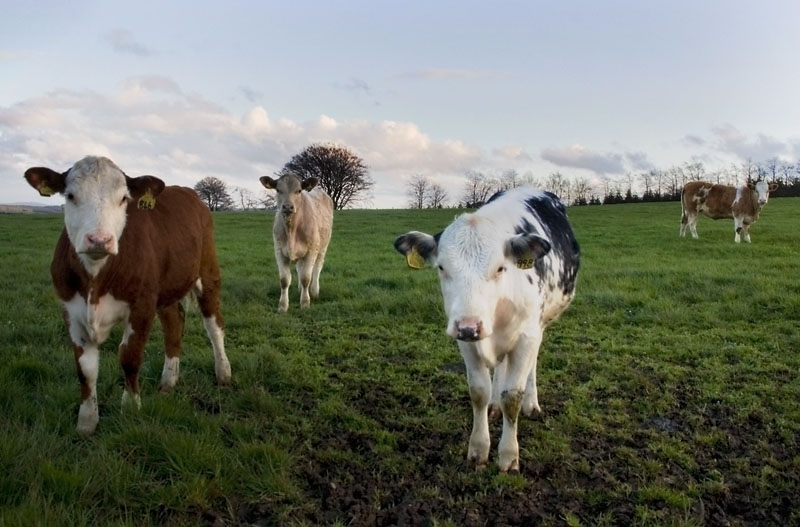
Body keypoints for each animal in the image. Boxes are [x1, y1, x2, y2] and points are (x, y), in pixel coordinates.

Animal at [25, 157, 231, 438]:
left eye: (123, 198)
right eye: (70, 195)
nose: (99, 239)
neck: (96, 279)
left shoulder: (142, 305)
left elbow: (129, 358)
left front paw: (131, 409)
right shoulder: (71, 310)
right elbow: (85, 369)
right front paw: (86, 422)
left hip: (207, 273)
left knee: (214, 325)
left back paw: (223, 373)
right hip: (165, 287)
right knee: (173, 324)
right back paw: (168, 381)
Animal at [258, 173, 330, 314]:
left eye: (299, 191)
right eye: (278, 190)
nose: (287, 207)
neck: (292, 229)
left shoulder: (311, 250)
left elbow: (306, 278)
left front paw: (305, 303)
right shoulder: (279, 251)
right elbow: (284, 280)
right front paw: (282, 306)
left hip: (322, 247)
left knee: (317, 267)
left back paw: (314, 291)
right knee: (300, 268)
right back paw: (300, 289)